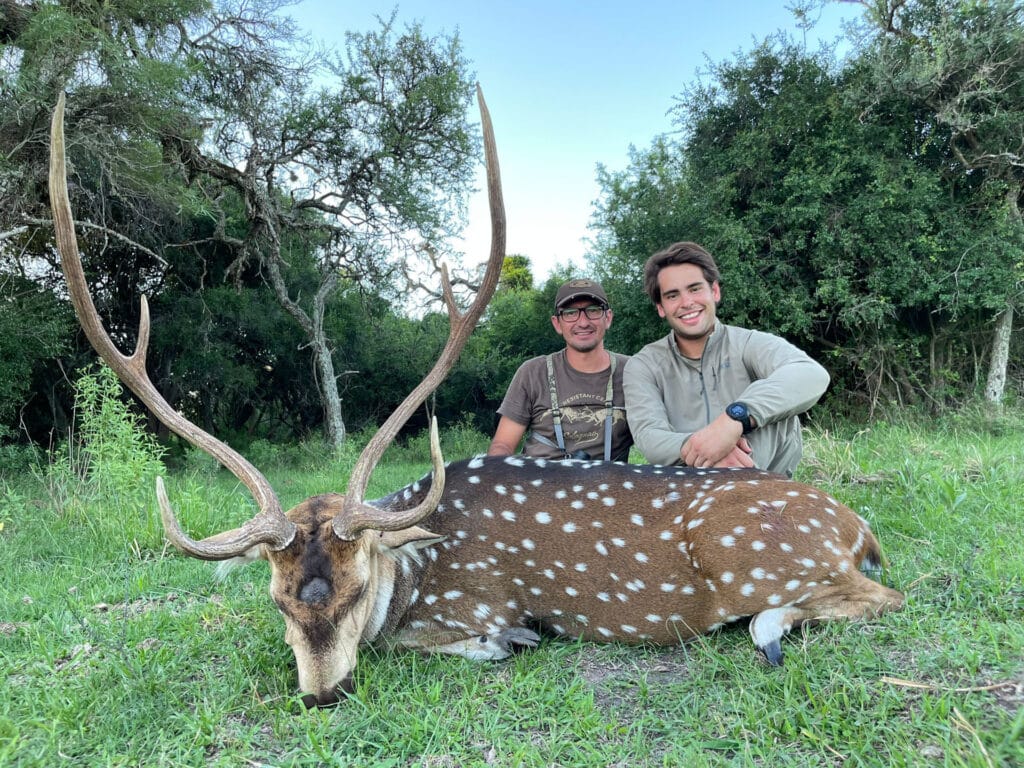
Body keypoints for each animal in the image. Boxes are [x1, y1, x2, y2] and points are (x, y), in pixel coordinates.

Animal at [49, 90, 904, 709]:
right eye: (279, 602)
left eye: (356, 590)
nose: (324, 696)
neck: (416, 566)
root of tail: (855, 523)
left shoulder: (473, 606)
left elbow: (461, 640)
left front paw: (515, 641)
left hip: (754, 555)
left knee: (880, 595)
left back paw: (770, 626)